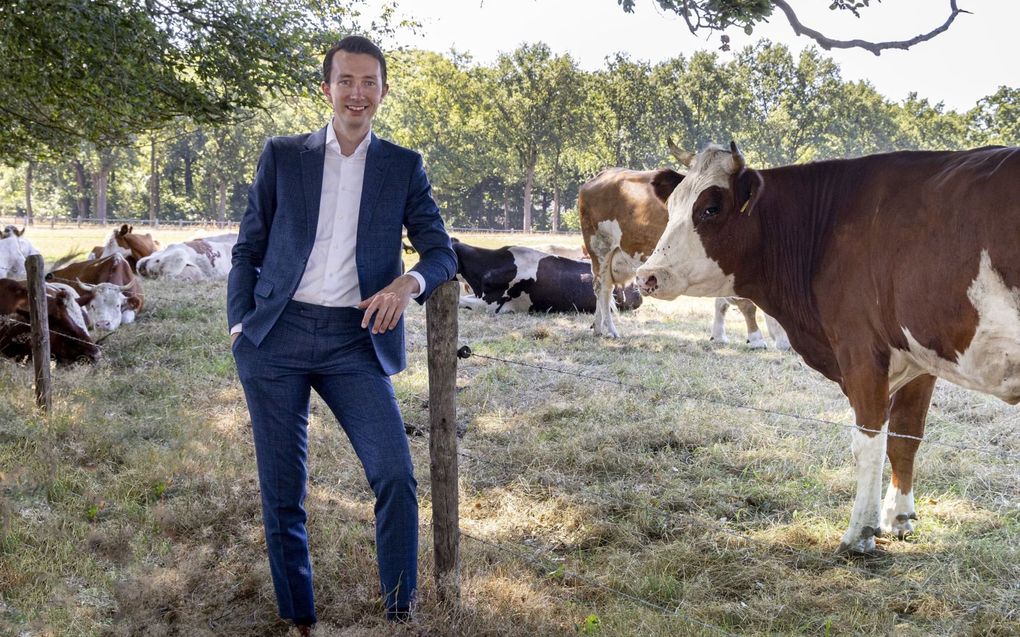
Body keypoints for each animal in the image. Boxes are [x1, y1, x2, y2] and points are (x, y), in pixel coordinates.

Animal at [575, 166, 787, 350]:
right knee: (603, 289)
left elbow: (723, 303)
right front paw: (758, 339)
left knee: (602, 289)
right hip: (600, 247)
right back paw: (610, 330)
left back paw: (598, 327)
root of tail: (603, 175)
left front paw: (719, 336)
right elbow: (747, 304)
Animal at [636, 142, 1020, 550]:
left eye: (711, 208)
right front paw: (899, 517)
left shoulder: (860, 347)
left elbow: (868, 441)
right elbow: (905, 435)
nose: (647, 276)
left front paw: (860, 532)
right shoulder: (920, 355)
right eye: (672, 206)